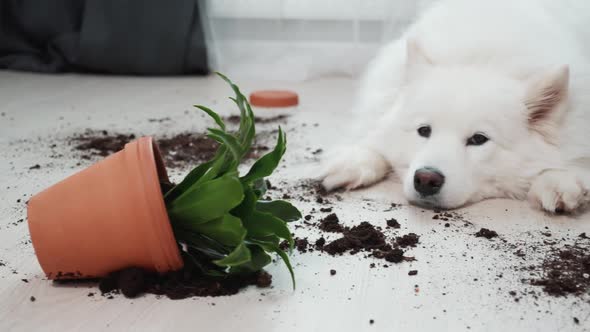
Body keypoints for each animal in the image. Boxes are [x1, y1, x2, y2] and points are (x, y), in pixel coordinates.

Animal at [322, 0, 590, 213]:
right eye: (424, 130)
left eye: (479, 139)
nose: (425, 179)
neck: (482, 58)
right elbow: (375, 135)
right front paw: (353, 162)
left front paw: (558, 181)